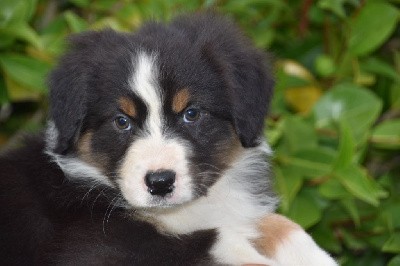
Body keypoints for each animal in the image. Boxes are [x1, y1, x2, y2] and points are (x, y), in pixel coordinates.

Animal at [0, 13, 336, 264]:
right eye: (121, 121)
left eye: (191, 113)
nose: (160, 183)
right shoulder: (97, 250)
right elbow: (215, 240)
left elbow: (278, 223)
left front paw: (315, 256)